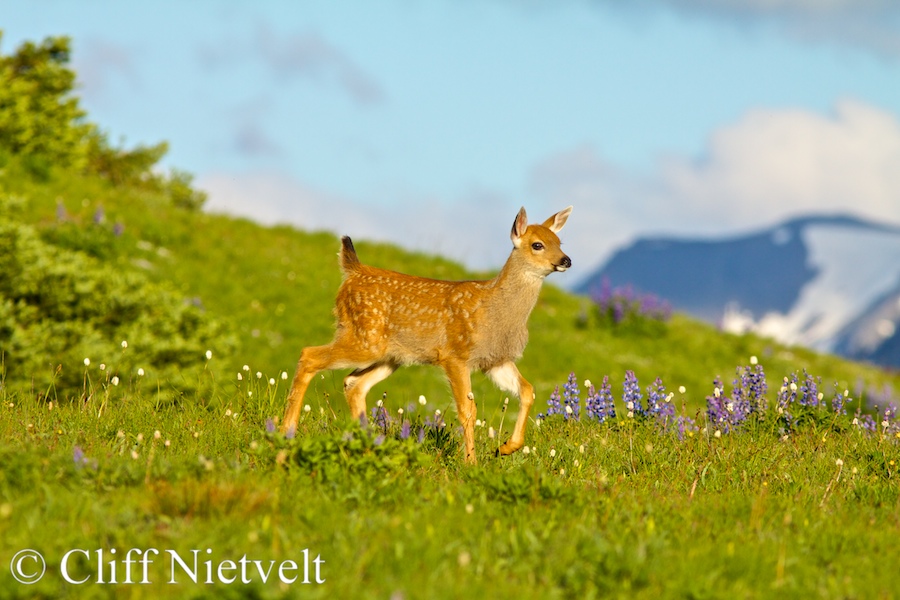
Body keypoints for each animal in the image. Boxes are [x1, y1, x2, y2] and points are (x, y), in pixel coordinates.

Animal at [280, 206, 572, 463]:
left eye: (559, 241)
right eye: (537, 244)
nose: (566, 260)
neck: (495, 312)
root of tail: (353, 271)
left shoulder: (495, 360)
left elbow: (528, 390)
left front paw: (506, 447)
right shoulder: (455, 354)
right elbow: (468, 410)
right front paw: (471, 463)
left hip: (390, 356)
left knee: (353, 383)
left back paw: (363, 446)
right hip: (364, 338)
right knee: (309, 355)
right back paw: (285, 437)